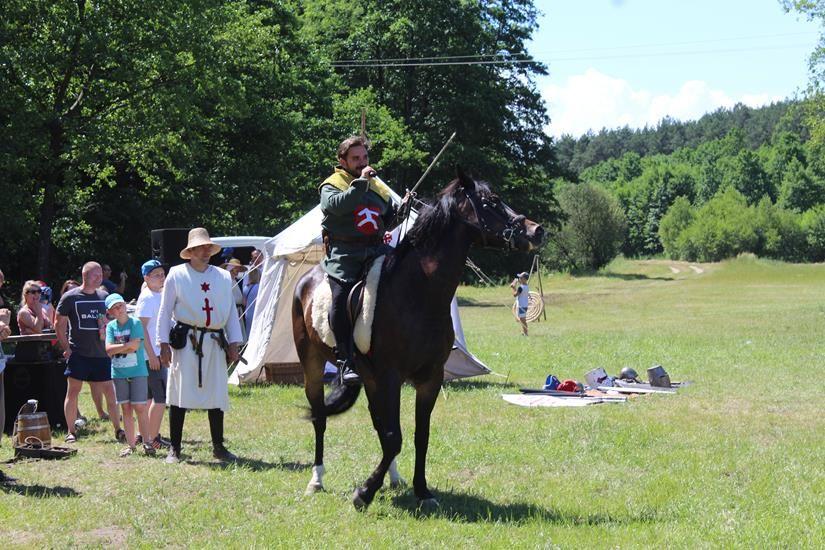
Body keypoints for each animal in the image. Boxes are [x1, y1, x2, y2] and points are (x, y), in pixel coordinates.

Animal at [292, 169, 544, 512]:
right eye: (491, 200)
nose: (536, 230)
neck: (419, 292)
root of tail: (307, 279)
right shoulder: (391, 377)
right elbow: (394, 436)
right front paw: (364, 492)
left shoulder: (428, 378)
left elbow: (416, 435)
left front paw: (421, 490)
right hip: (313, 365)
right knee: (320, 417)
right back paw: (317, 479)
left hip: (369, 378)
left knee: (378, 424)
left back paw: (393, 479)